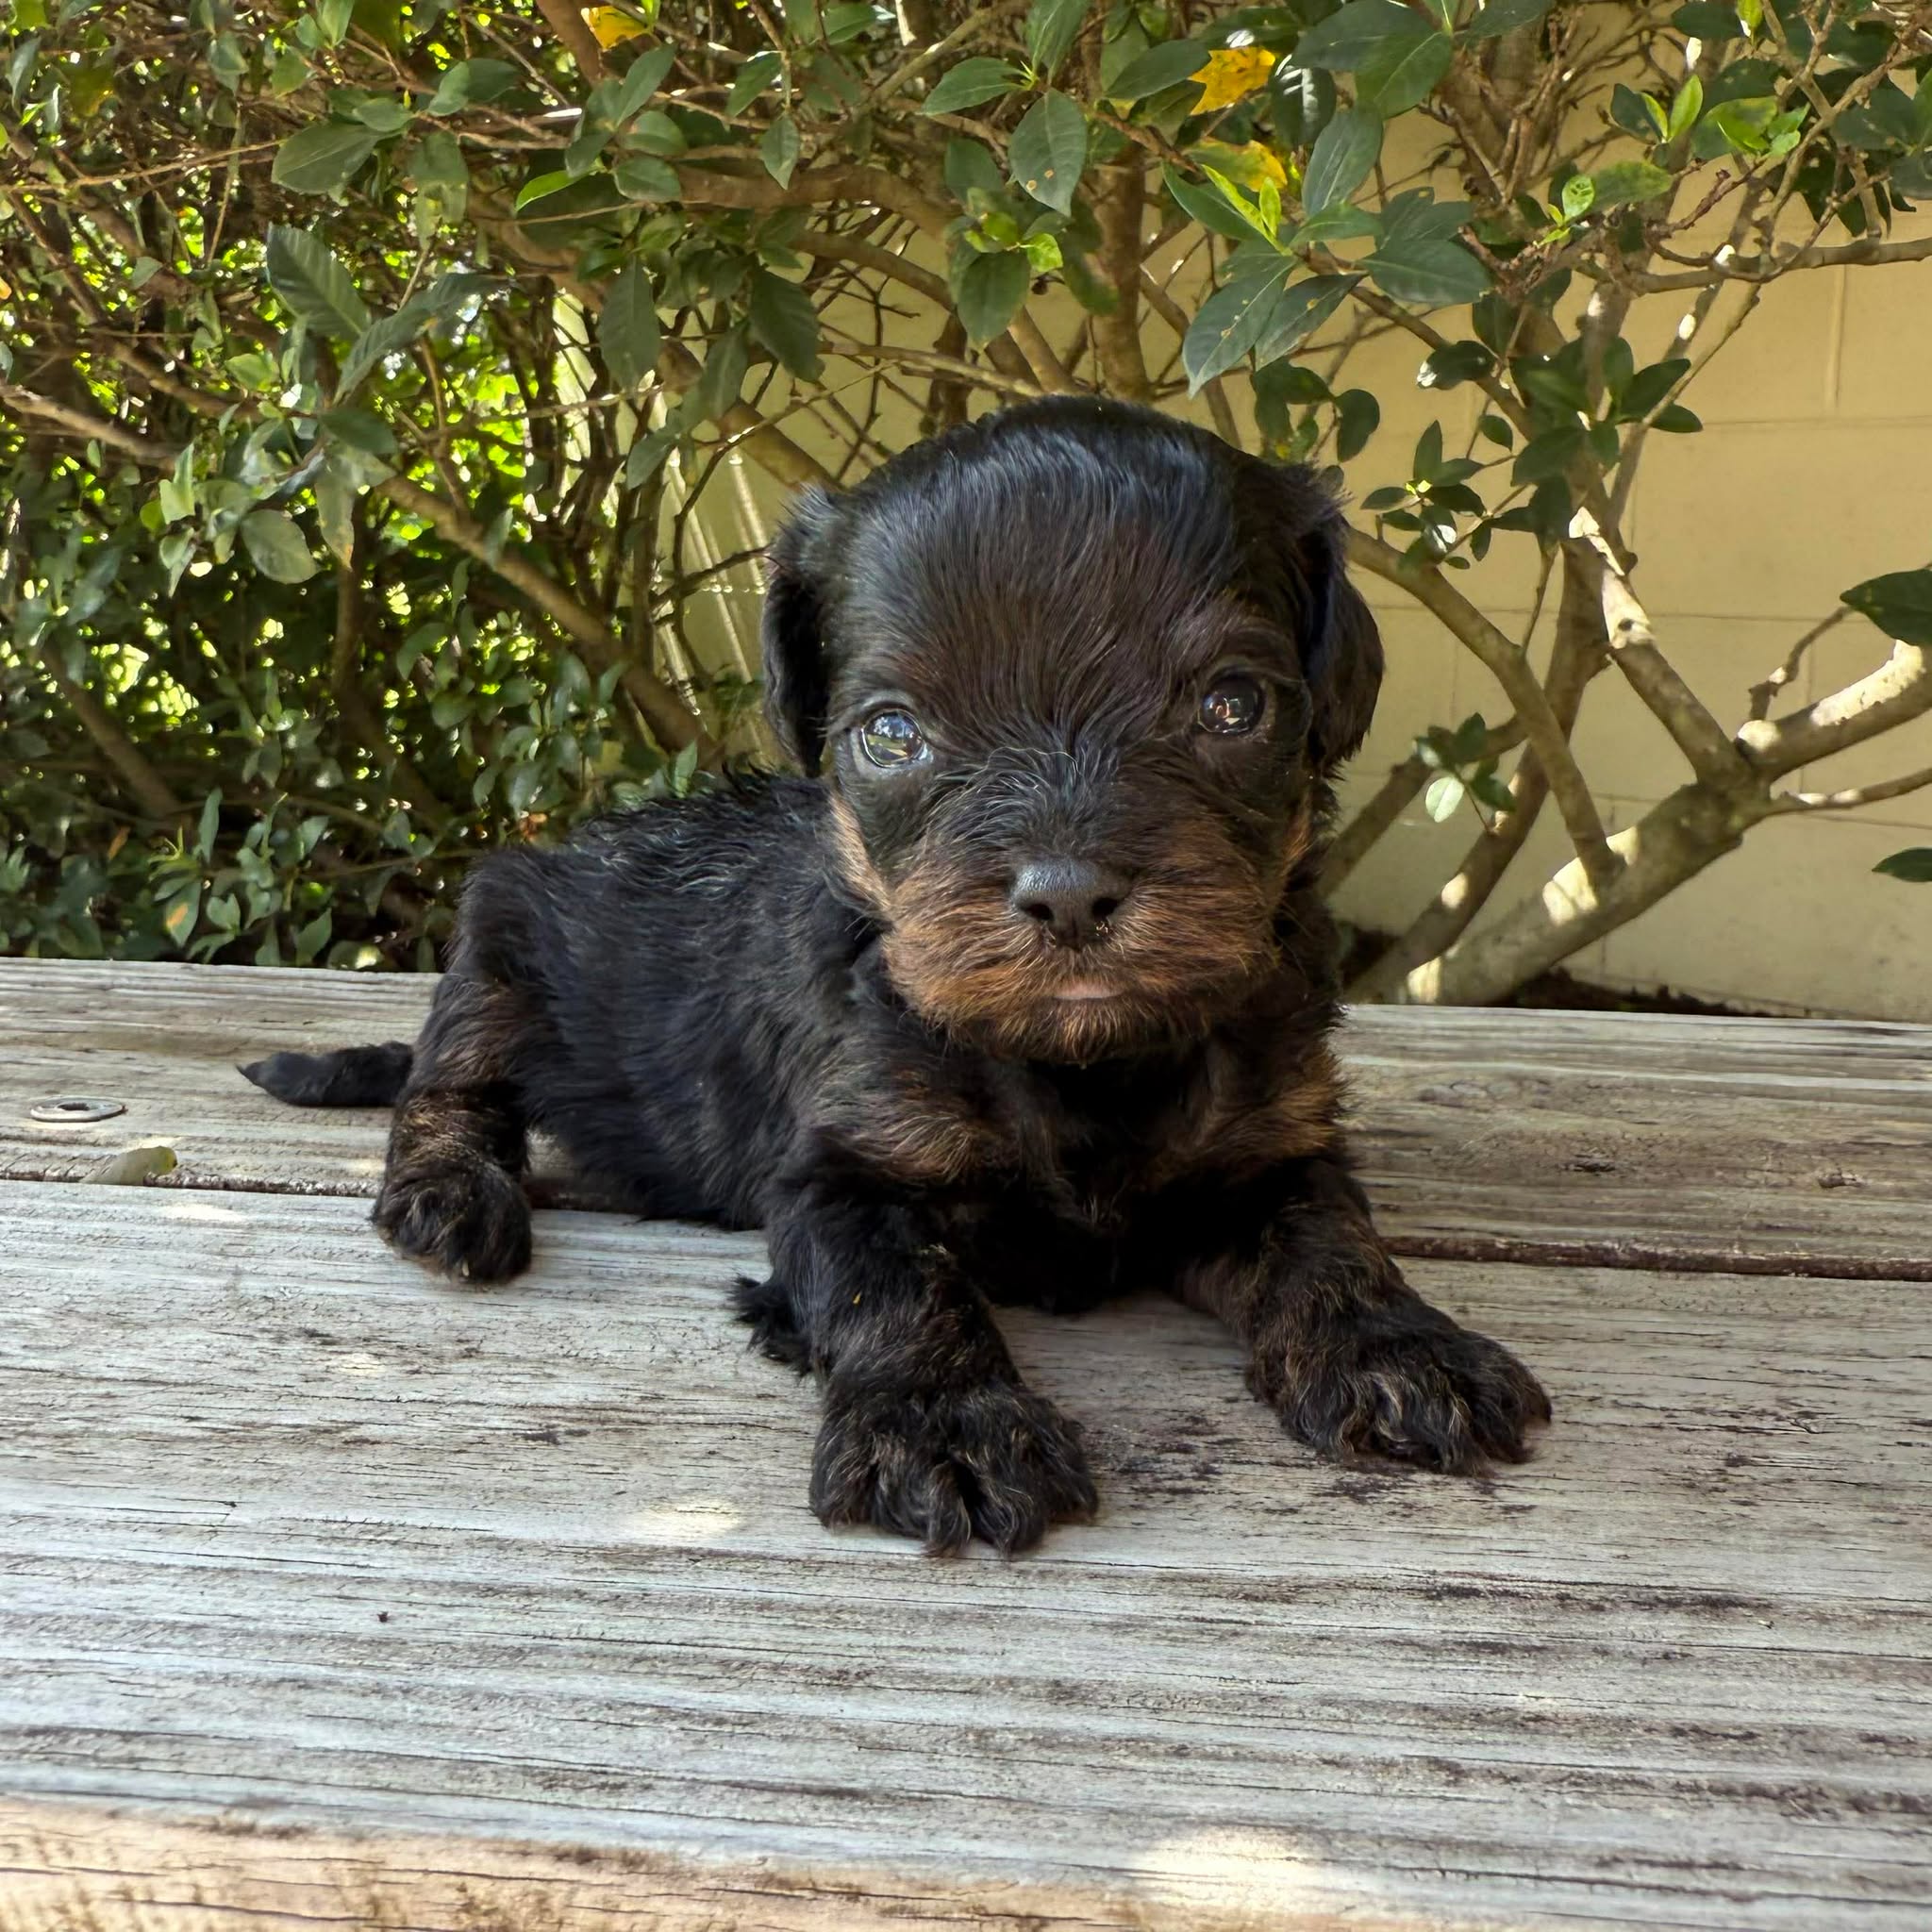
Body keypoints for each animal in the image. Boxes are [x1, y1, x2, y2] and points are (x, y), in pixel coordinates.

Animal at [244, 397, 1549, 1553]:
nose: (1068, 893)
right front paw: (943, 1425)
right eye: (890, 732)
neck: (1080, 1063)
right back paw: (452, 1190)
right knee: (446, 1081)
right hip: (500, 941)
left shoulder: (1267, 1148)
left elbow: (1326, 1235)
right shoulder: (842, 1166)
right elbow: (894, 1283)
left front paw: (1390, 1345)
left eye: (1232, 704)